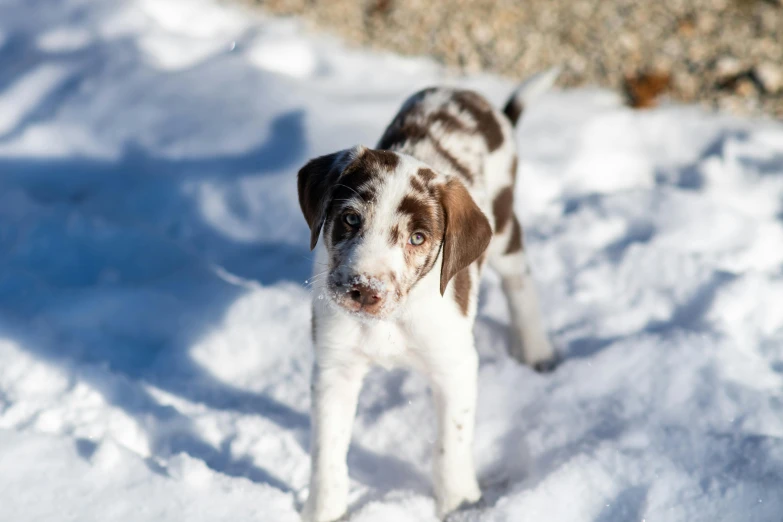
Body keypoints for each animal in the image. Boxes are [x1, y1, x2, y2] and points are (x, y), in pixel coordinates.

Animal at [298, 70, 560, 520]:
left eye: (418, 237)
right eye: (349, 219)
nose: (364, 289)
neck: (391, 322)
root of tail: (472, 96)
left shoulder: (455, 367)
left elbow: (451, 446)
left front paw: (459, 503)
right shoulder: (335, 368)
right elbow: (328, 455)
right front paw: (323, 511)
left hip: (504, 227)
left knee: (520, 282)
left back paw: (536, 351)